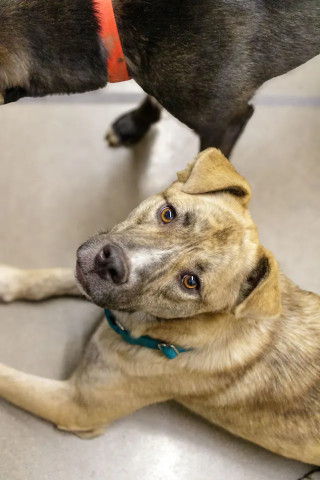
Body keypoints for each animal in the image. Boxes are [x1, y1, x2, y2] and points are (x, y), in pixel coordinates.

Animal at [0, 150, 320, 476]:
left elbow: (8, 378)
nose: (110, 263)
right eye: (168, 213)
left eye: (191, 282)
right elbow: (54, 276)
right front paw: (9, 280)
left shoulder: (74, 406)